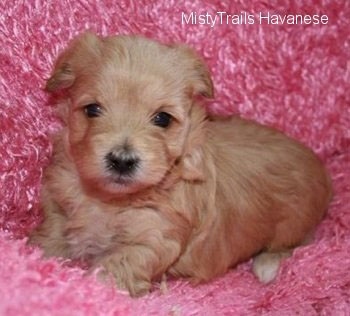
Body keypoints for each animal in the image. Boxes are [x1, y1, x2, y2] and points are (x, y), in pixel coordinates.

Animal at [28, 33, 332, 298]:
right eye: (92, 109)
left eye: (162, 119)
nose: (122, 160)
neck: (110, 199)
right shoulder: (58, 203)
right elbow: (52, 235)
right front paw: (39, 257)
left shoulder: (154, 235)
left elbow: (113, 269)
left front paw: (90, 288)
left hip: (293, 223)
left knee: (296, 243)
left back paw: (267, 264)